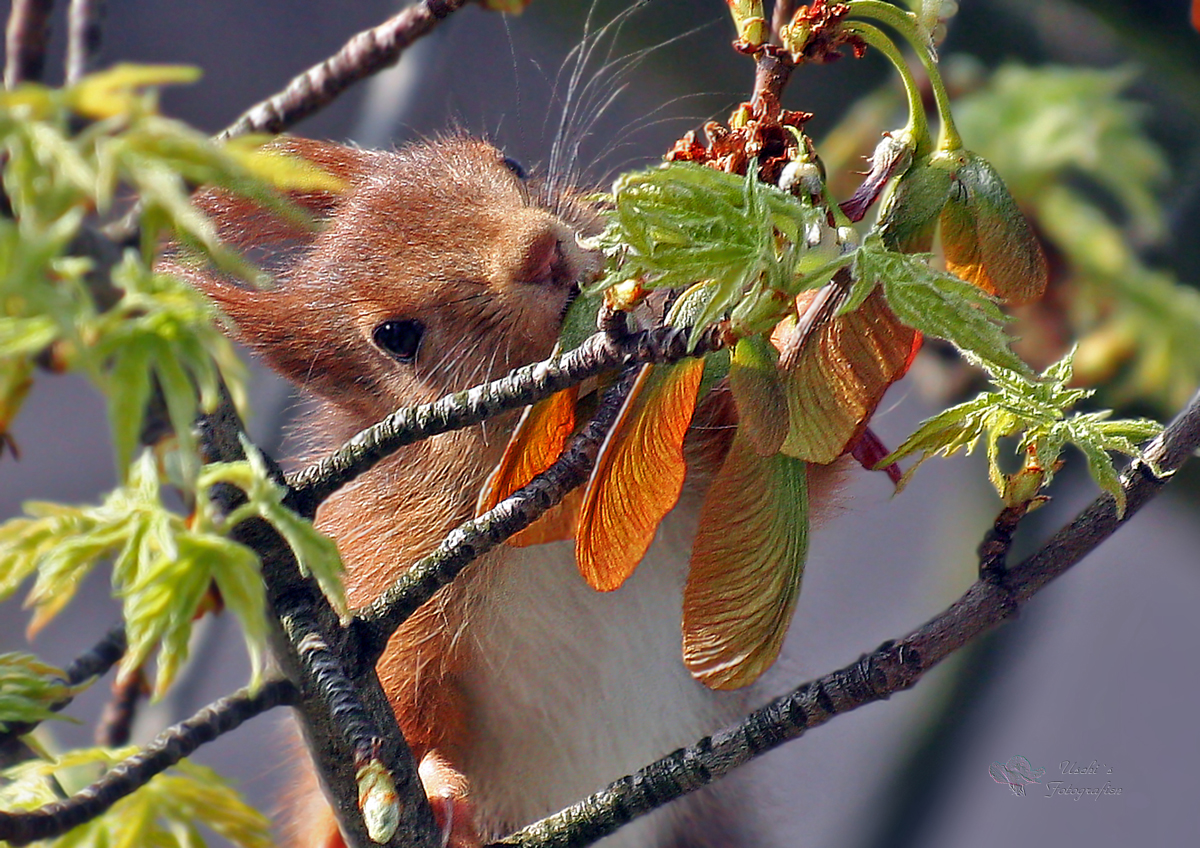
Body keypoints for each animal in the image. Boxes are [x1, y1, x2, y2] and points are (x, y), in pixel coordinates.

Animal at [180, 136, 844, 844]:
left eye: (510, 164)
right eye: (395, 337)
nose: (539, 250)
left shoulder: (705, 469)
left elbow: (800, 458)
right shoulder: (378, 558)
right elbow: (403, 701)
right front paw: (436, 790)